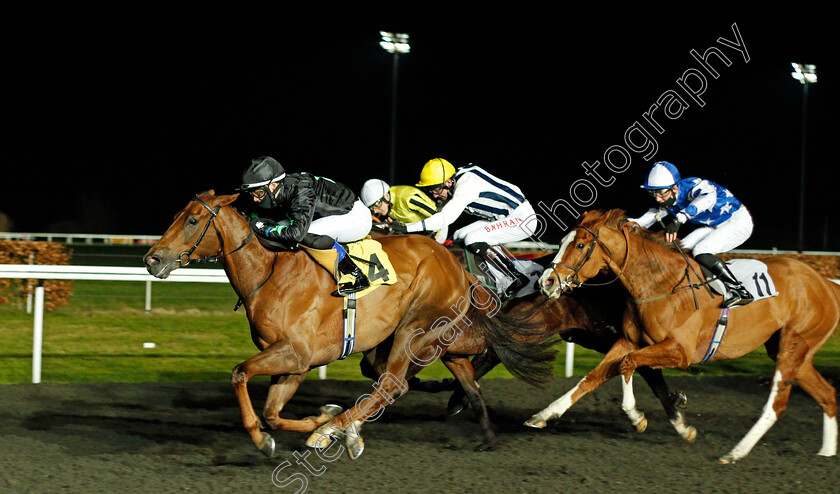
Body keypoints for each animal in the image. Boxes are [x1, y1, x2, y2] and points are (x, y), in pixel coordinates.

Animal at [145, 191, 560, 458]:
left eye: (193, 220)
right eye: (178, 216)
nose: (152, 259)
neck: (270, 272)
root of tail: (455, 264)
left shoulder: (294, 353)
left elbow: (239, 374)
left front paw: (305, 433)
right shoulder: (294, 364)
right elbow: (273, 414)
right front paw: (321, 420)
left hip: (415, 327)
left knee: (392, 384)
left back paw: (333, 431)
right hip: (424, 338)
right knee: (452, 383)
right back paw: (482, 435)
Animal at [528, 208, 836, 464]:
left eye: (580, 245)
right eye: (561, 243)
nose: (546, 282)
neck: (658, 283)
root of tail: (826, 283)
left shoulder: (681, 352)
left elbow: (628, 363)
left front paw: (636, 415)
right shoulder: (630, 340)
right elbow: (593, 377)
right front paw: (544, 415)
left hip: (792, 345)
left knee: (777, 405)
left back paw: (735, 453)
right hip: (792, 351)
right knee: (827, 393)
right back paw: (827, 452)